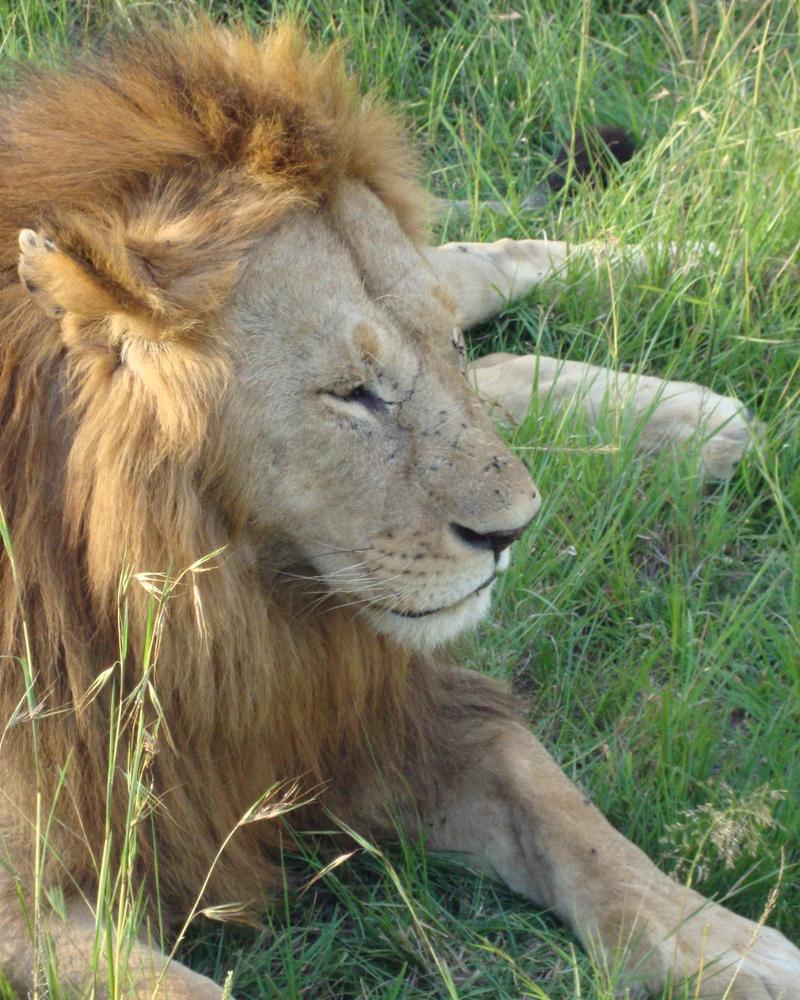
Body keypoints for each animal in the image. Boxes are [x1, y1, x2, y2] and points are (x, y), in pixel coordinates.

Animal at [0, 20, 797, 1000]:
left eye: (440, 345)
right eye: (352, 393)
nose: (512, 533)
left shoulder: (383, 711)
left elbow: (561, 810)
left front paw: (723, 942)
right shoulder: (28, 908)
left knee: (488, 261)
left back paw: (715, 281)